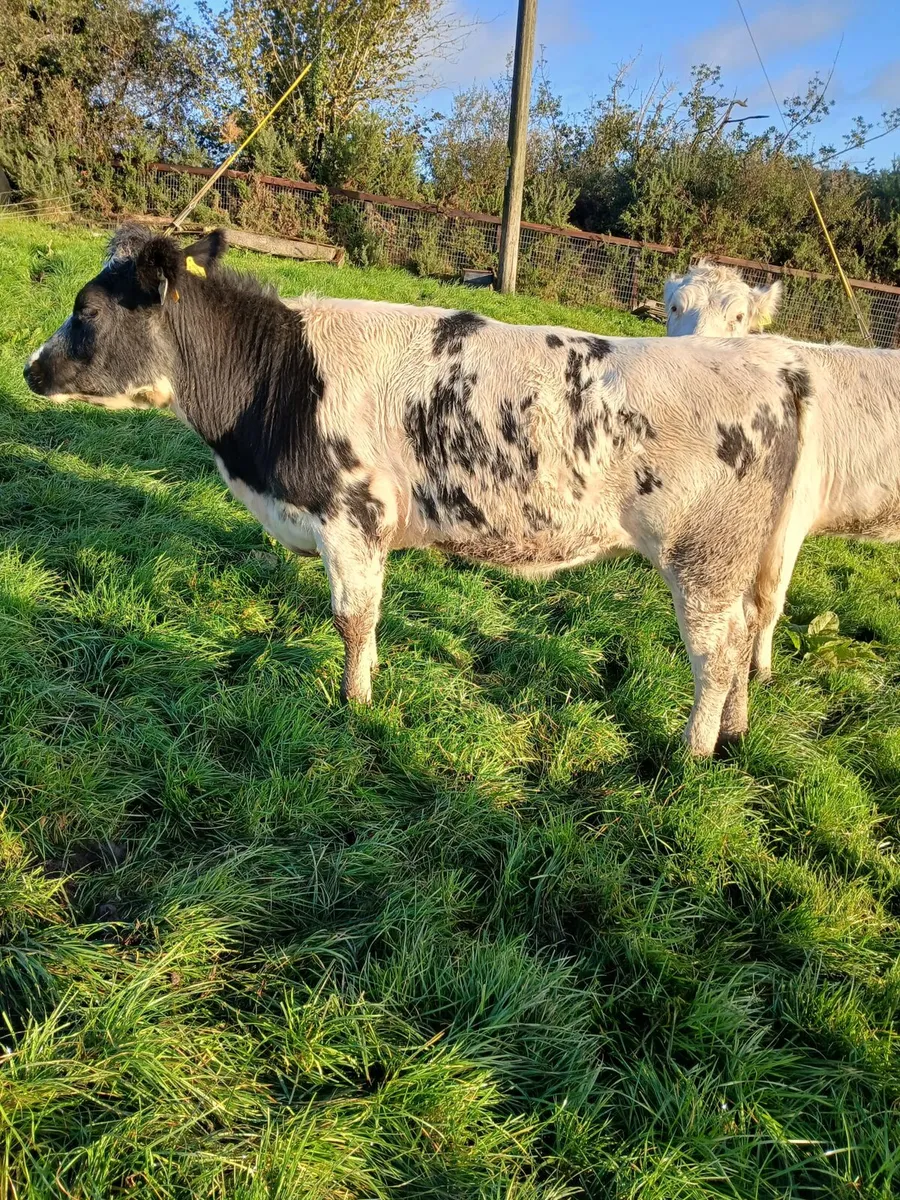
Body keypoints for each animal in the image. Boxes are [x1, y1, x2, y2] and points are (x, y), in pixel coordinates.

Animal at [25, 224, 817, 757]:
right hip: (739, 559)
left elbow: (352, 618)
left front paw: (355, 702)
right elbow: (369, 618)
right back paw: (736, 729)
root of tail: (774, 363)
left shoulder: (350, 515)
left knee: (717, 653)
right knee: (750, 631)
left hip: (704, 558)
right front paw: (371, 676)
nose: (30, 367)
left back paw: (693, 751)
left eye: (87, 311)